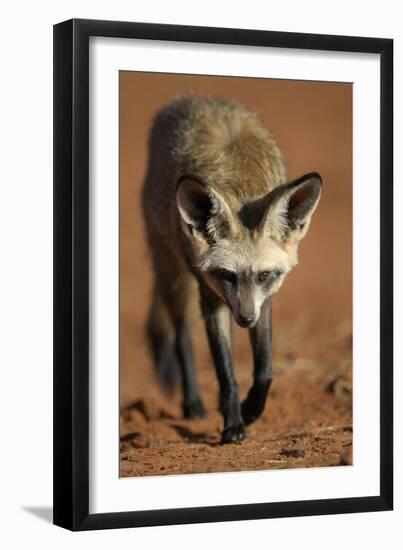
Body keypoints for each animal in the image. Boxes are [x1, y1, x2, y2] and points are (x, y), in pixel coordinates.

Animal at [142, 95, 322, 446]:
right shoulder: (209, 294)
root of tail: (189, 98)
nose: (246, 319)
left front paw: (251, 409)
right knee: (182, 336)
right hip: (173, 274)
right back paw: (194, 404)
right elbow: (225, 372)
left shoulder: (263, 299)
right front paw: (233, 425)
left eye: (265, 275)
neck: (241, 183)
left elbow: (265, 369)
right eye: (227, 274)